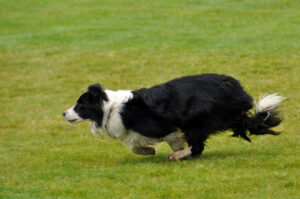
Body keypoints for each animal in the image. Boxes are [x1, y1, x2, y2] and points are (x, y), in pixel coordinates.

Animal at [62, 74, 284, 161]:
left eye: (79, 105)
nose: (64, 113)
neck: (109, 107)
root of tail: (238, 90)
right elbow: (134, 146)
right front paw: (149, 150)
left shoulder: (166, 127)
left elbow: (174, 140)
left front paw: (176, 152)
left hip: (196, 116)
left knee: (197, 145)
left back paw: (180, 156)